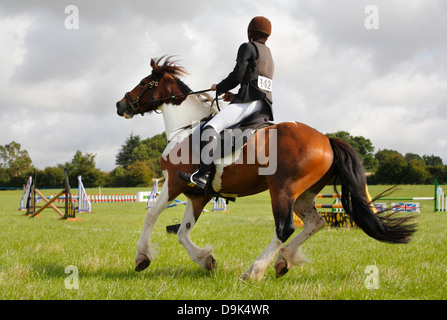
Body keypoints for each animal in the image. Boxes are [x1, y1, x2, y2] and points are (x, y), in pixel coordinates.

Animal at [115, 57, 416, 280]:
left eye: (144, 82)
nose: (120, 104)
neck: (185, 129)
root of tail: (326, 140)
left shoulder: (174, 184)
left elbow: (151, 216)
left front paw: (142, 257)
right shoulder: (197, 195)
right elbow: (182, 232)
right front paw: (206, 260)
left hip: (282, 190)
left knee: (285, 229)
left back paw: (254, 271)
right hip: (303, 195)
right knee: (315, 223)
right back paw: (283, 261)